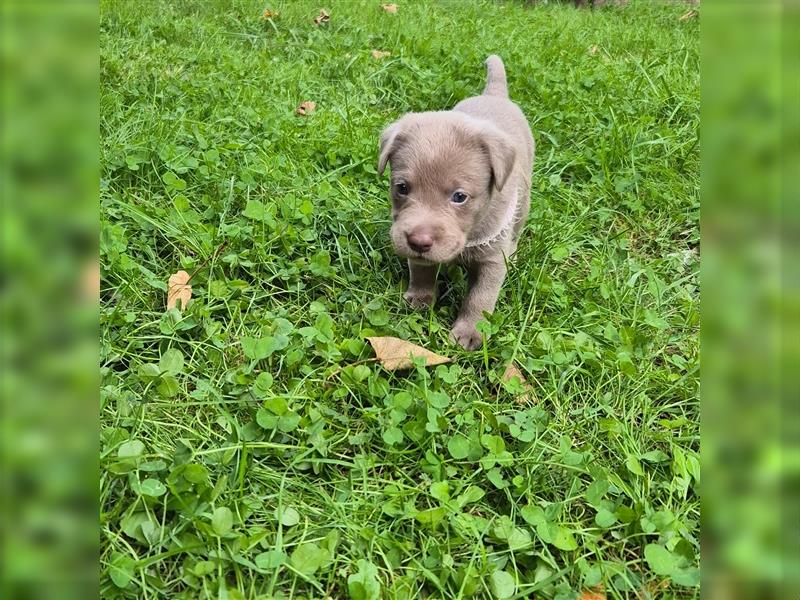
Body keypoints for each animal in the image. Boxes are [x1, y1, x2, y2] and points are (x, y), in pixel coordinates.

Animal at [378, 55, 536, 352]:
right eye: (402, 188)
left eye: (459, 197)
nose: (418, 241)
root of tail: (494, 94)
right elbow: (421, 269)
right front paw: (420, 298)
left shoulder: (492, 261)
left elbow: (480, 298)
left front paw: (470, 332)